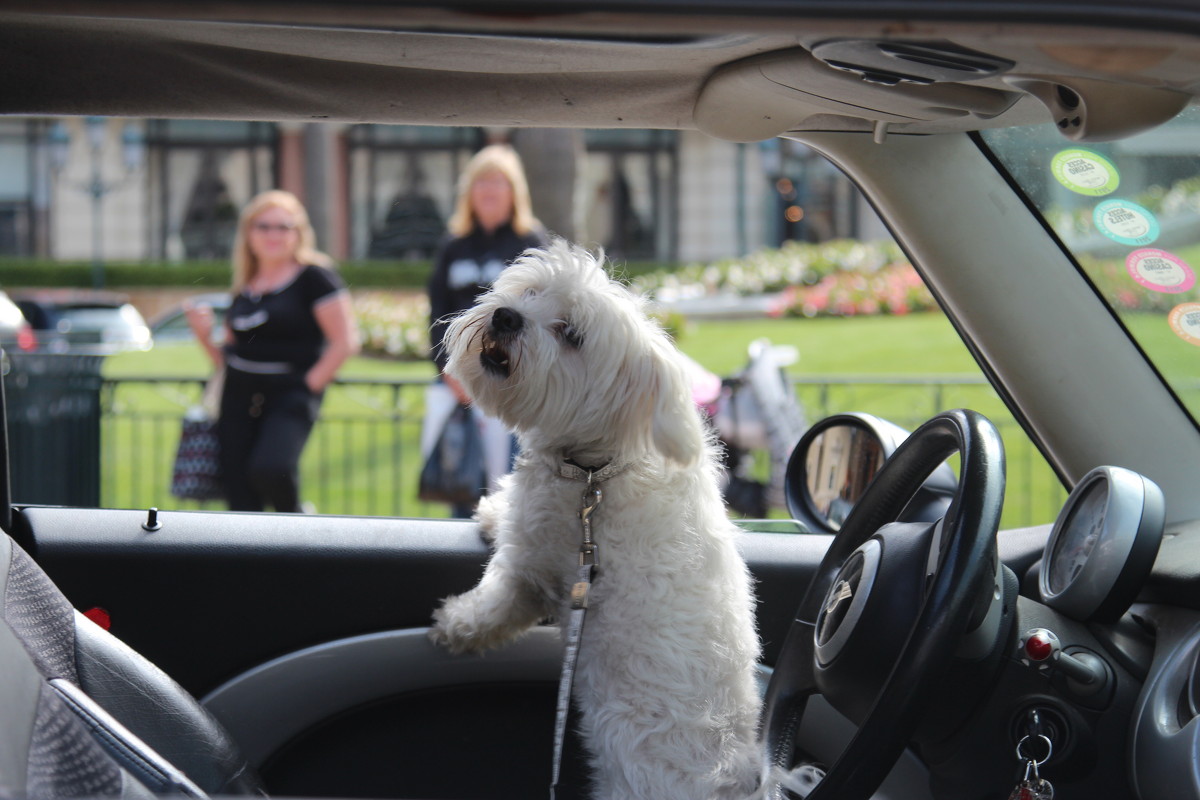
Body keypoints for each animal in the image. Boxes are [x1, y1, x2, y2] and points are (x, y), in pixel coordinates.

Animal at [429, 241, 758, 796]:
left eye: (571, 334)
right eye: (530, 293)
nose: (506, 316)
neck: (596, 471)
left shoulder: (535, 557)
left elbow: (498, 600)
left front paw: (457, 623)